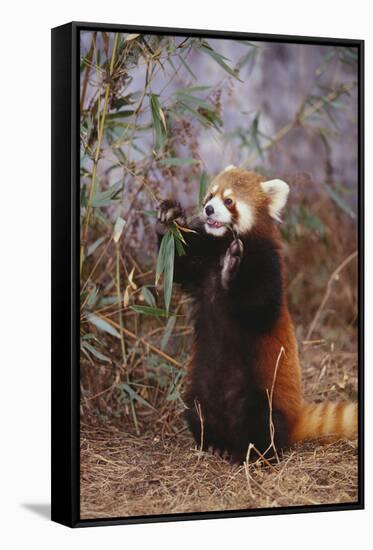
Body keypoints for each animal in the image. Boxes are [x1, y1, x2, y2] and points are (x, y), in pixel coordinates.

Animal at [155, 166, 356, 464]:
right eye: (210, 195)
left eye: (229, 201)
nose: (208, 209)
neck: (222, 246)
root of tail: (294, 421)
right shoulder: (201, 261)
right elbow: (178, 264)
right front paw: (170, 216)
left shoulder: (267, 263)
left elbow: (260, 309)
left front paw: (230, 269)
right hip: (198, 389)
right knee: (196, 411)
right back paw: (214, 443)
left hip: (261, 396)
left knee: (262, 422)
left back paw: (252, 454)